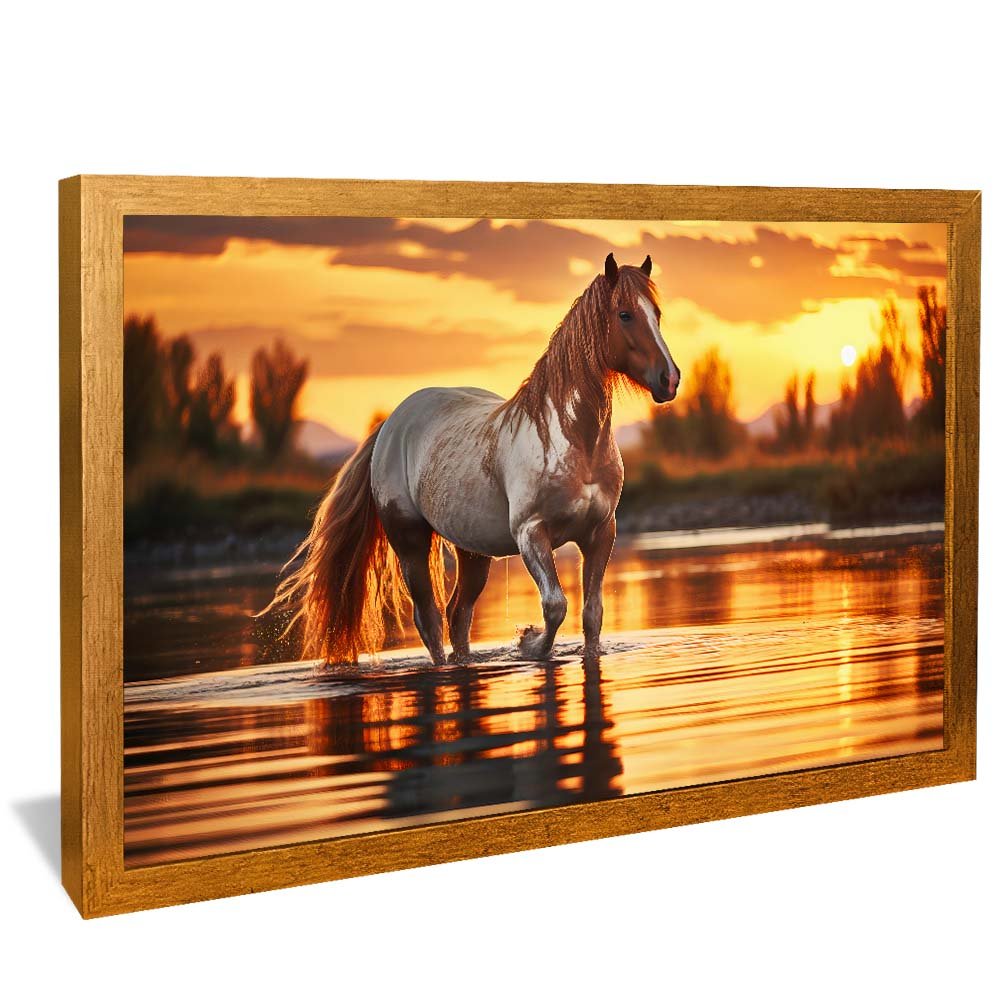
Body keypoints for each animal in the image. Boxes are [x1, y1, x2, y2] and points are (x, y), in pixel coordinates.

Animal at [262, 253, 681, 666]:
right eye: (625, 314)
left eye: (657, 313)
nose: (670, 379)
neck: (573, 443)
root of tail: (390, 426)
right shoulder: (531, 534)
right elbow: (555, 606)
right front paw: (528, 643)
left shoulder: (600, 533)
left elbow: (592, 614)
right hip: (409, 542)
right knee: (429, 619)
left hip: (473, 552)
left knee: (458, 615)